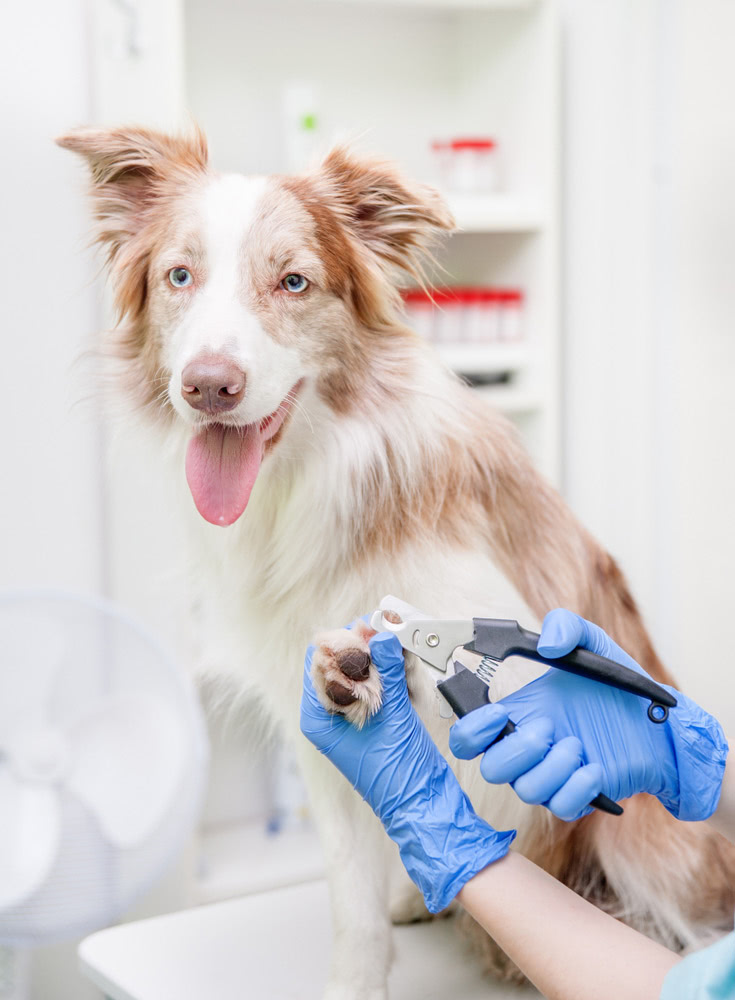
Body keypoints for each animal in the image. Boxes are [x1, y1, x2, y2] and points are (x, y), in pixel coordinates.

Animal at [60, 127, 732, 1000]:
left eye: (293, 281)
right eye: (179, 276)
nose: (208, 385)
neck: (301, 485)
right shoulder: (314, 736)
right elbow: (354, 887)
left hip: (657, 843)